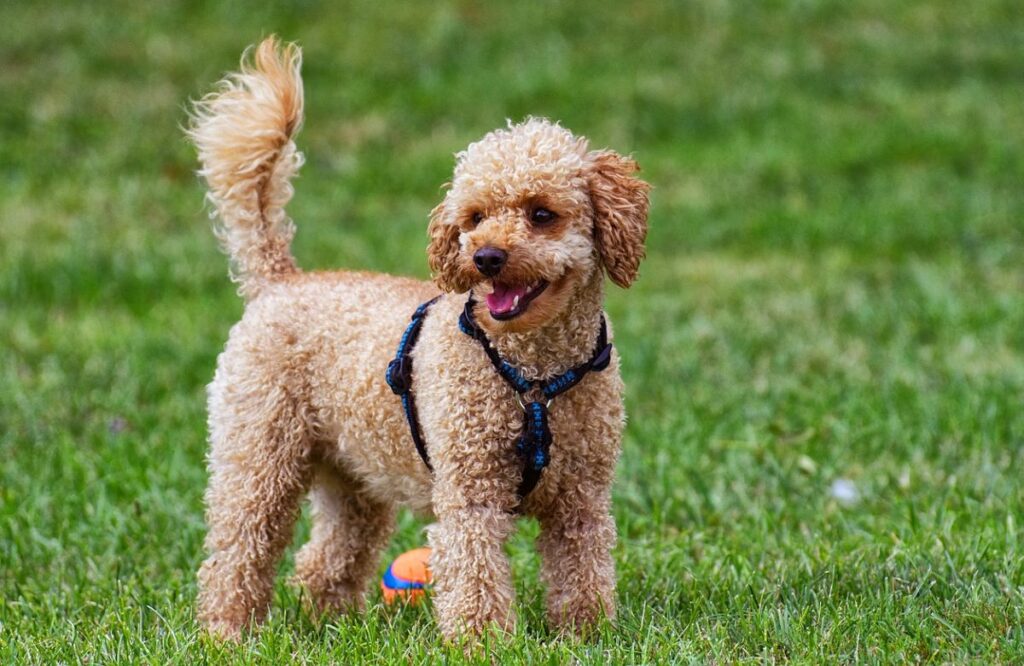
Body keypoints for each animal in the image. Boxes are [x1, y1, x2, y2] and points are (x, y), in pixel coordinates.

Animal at [186, 36, 647, 639]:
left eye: (542, 213)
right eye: (473, 217)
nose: (485, 256)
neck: (534, 374)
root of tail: (278, 280)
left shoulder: (582, 497)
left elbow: (582, 567)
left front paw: (586, 634)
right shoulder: (470, 488)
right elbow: (474, 571)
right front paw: (482, 642)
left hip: (354, 472)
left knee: (324, 558)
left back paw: (332, 625)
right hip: (260, 452)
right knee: (237, 550)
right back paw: (227, 633)